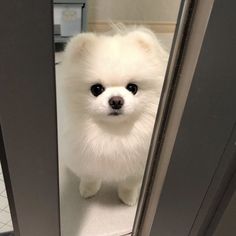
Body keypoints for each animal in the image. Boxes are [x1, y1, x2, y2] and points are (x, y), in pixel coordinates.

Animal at [59, 25, 168, 205]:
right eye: (96, 89)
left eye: (132, 88)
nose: (116, 101)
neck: (113, 132)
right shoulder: (86, 160)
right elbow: (90, 177)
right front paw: (88, 190)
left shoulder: (138, 166)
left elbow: (129, 184)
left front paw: (128, 198)